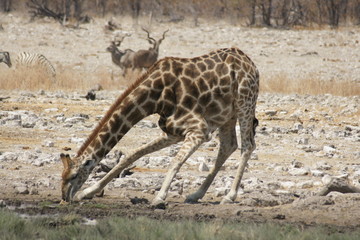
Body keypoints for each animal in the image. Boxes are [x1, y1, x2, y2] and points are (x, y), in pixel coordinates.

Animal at [61, 47, 258, 204]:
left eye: (73, 176)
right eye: (62, 175)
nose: (64, 197)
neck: (155, 97)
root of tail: (251, 64)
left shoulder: (198, 129)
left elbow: (175, 161)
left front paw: (159, 197)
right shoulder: (172, 132)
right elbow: (131, 155)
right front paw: (87, 192)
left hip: (245, 103)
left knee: (247, 146)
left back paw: (229, 196)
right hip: (227, 115)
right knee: (228, 146)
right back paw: (195, 195)